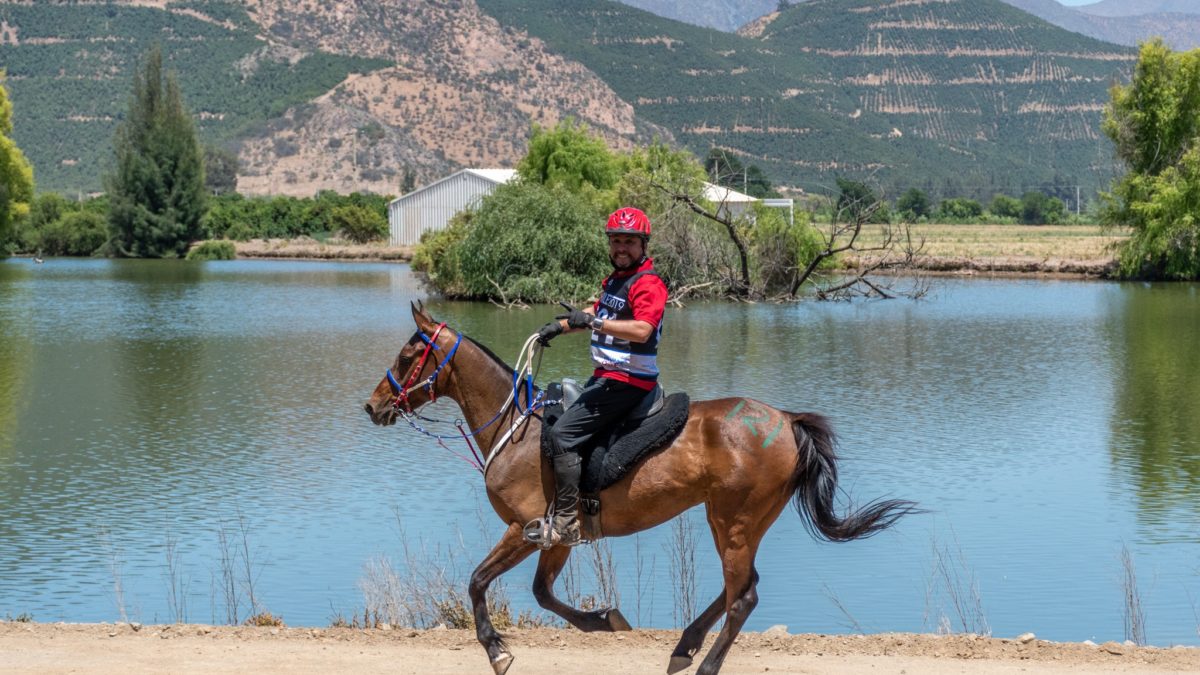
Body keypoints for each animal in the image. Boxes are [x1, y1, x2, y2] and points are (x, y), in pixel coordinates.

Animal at [360, 305, 912, 672]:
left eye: (409, 354)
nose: (373, 405)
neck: (516, 429)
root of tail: (786, 420)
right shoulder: (559, 536)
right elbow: (542, 593)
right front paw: (605, 620)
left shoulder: (524, 528)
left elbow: (477, 581)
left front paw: (497, 649)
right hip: (731, 521)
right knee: (740, 587)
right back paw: (685, 646)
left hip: (734, 521)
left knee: (743, 597)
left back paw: (703, 662)